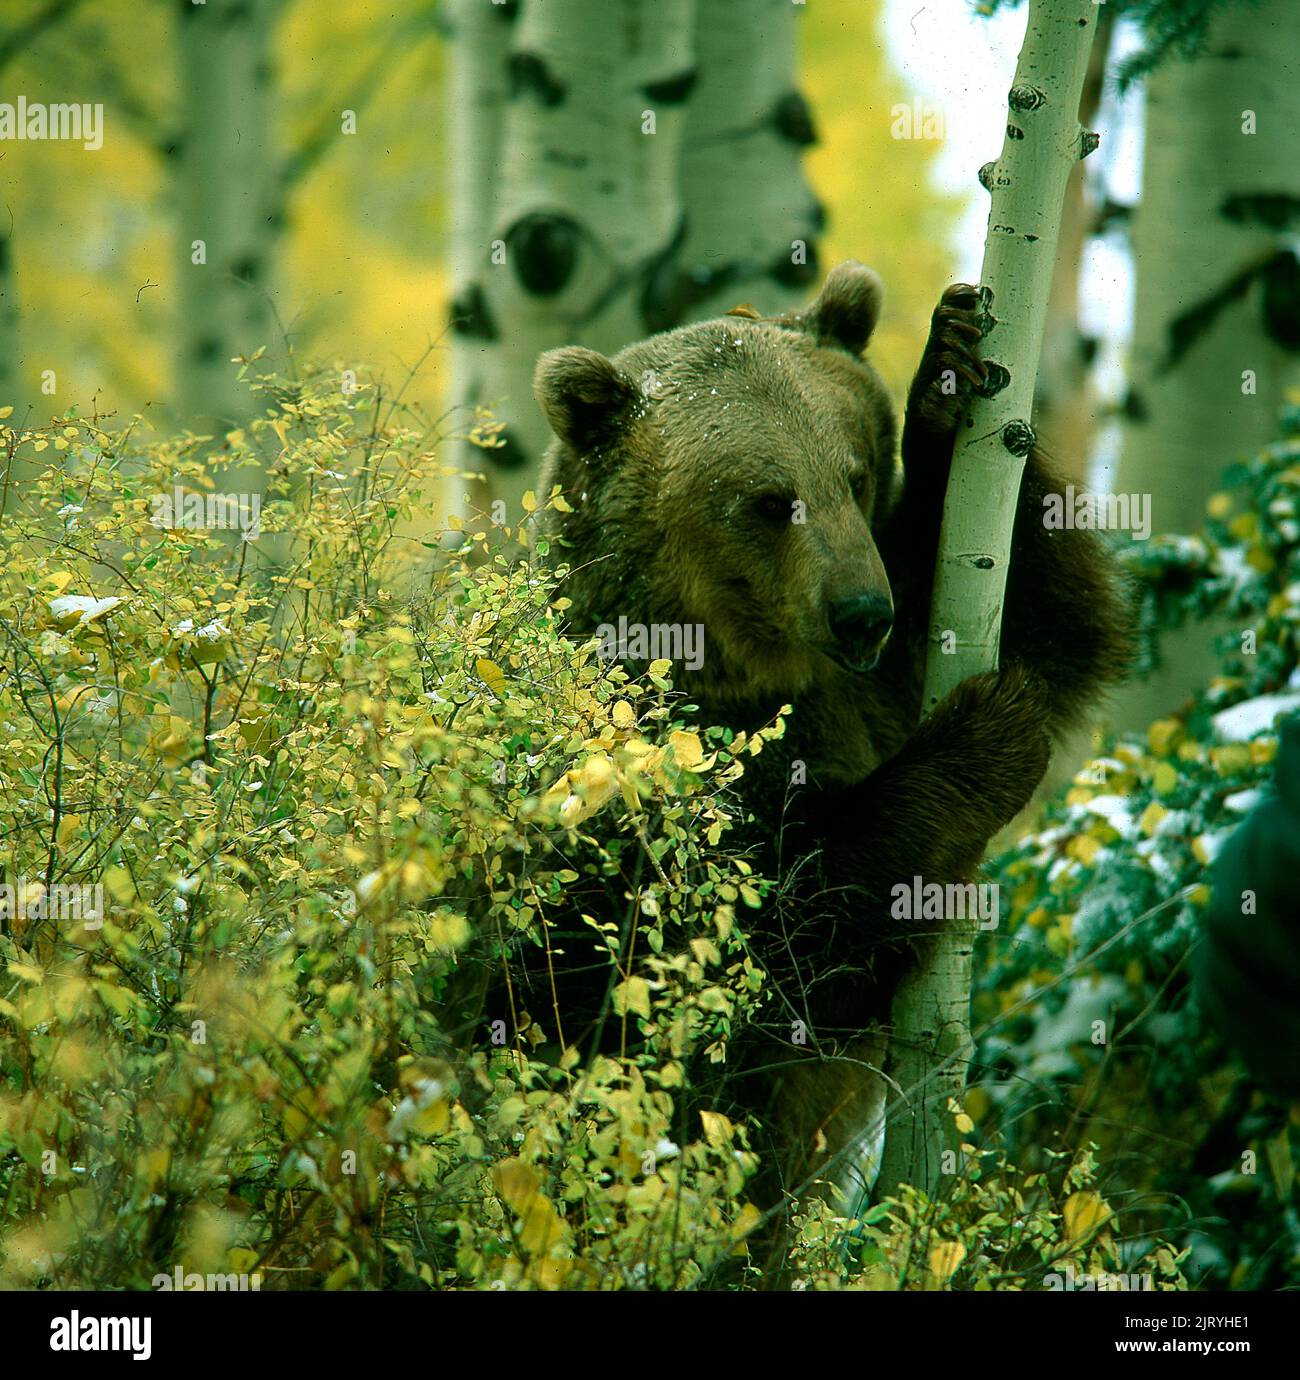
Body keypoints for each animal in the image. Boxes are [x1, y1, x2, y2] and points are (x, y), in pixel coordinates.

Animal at [518, 256, 1131, 1242]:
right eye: (772, 501)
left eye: (853, 468)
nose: (860, 611)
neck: (740, 666)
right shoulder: (625, 783)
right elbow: (760, 943)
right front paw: (988, 734)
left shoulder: (875, 680)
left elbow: (1057, 627)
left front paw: (949, 367)